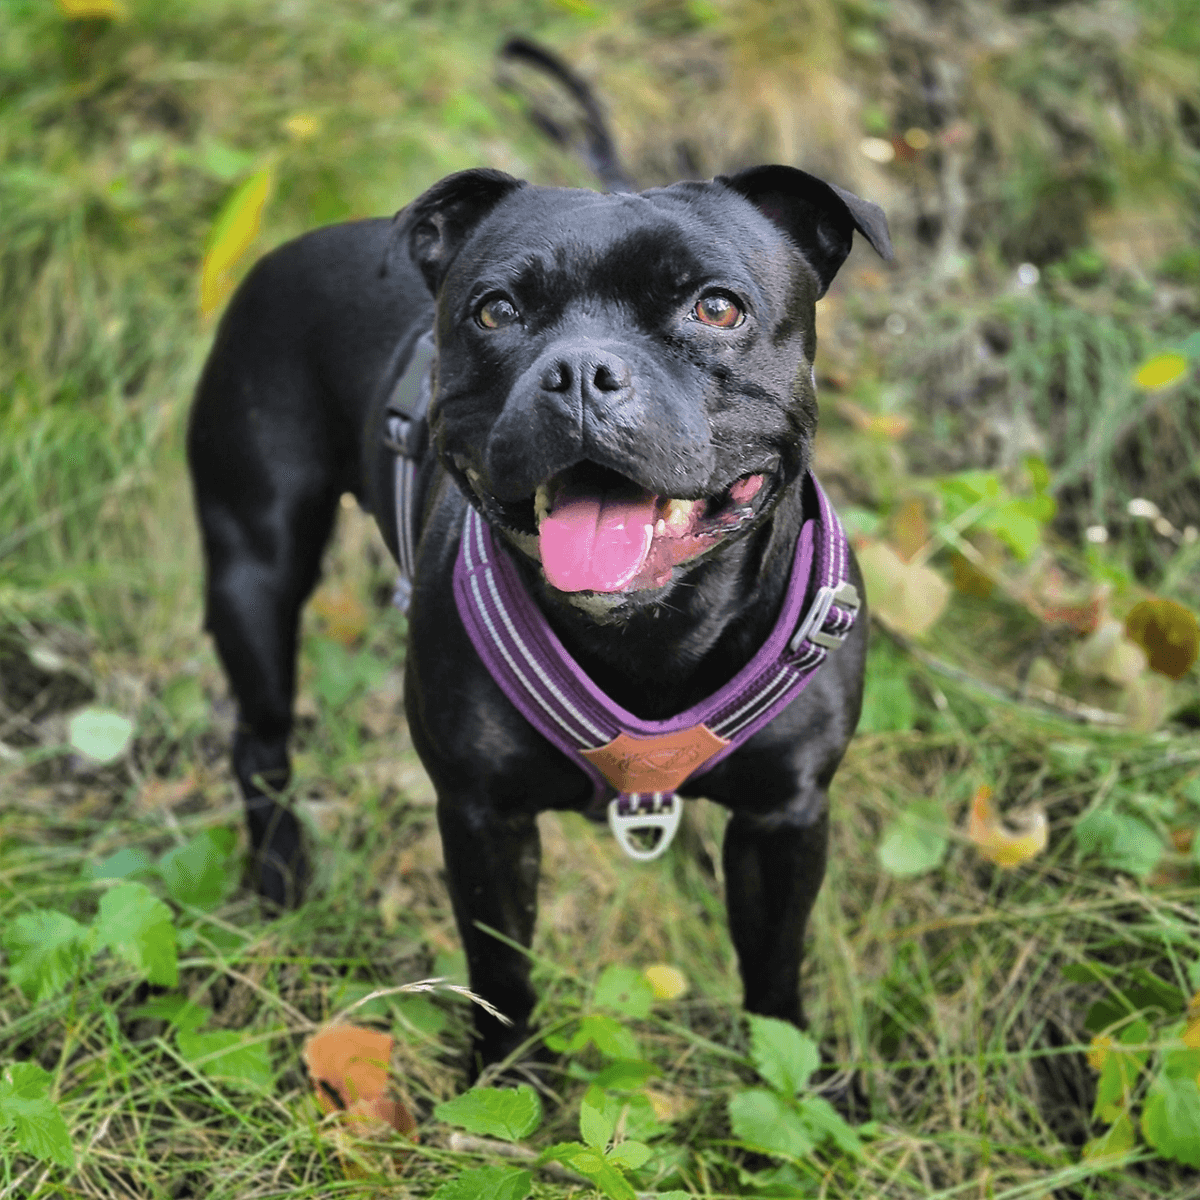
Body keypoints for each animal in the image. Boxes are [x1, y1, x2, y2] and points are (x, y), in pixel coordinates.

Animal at [187, 162, 892, 1070]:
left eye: (717, 307)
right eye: (495, 311)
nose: (583, 370)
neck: (653, 638)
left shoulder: (786, 818)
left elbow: (775, 968)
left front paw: (800, 1083)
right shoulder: (484, 819)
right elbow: (500, 972)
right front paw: (504, 1076)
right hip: (254, 567)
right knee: (261, 741)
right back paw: (281, 879)